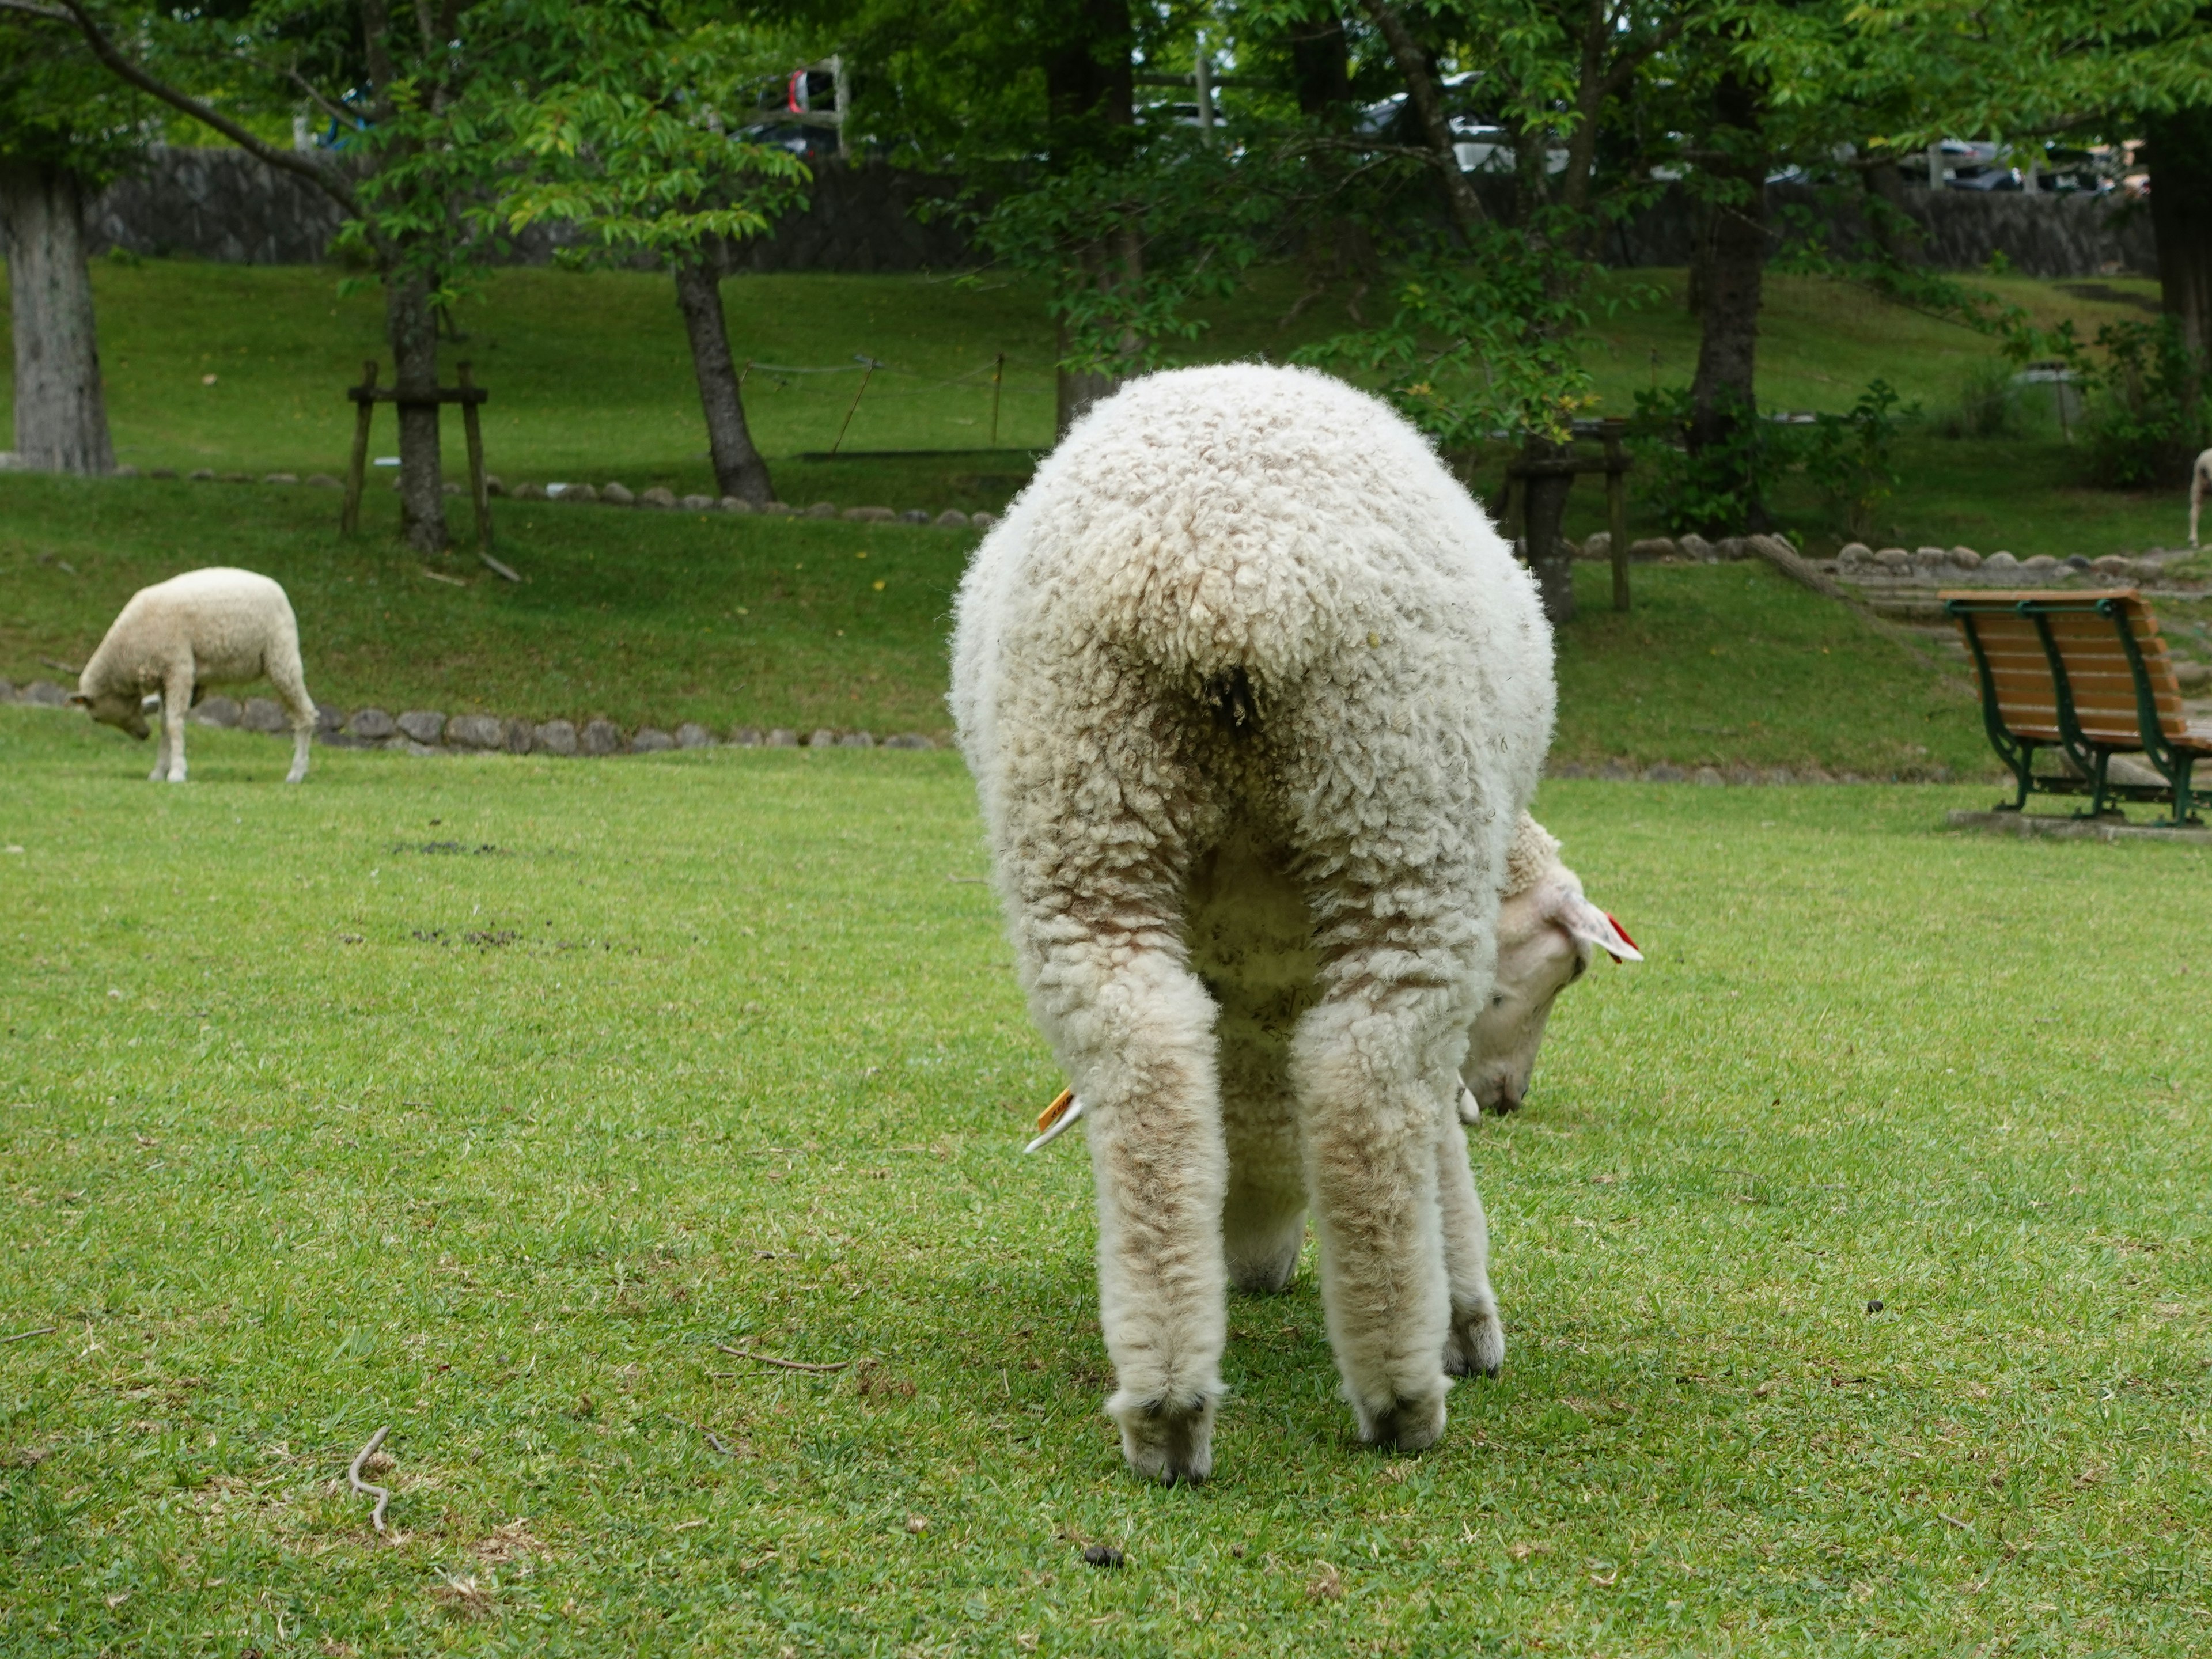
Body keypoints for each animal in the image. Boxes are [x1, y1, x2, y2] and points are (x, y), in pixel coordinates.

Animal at [73, 566, 320, 787]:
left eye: (96, 718)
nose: (144, 734)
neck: (126, 652)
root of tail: (277, 588)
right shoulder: (164, 678)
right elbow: (165, 723)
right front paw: (159, 772)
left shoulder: (178, 667)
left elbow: (174, 723)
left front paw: (177, 773)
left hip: (281, 655)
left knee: (305, 714)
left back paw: (297, 773)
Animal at [955, 362, 1645, 1478]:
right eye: (1553, 978)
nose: (1259, 1272)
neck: (1257, 993)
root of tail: (1226, 578)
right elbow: (1433, 1130)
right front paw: (1469, 1319)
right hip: (1399, 797)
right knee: (1367, 1084)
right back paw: (1402, 1397)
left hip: (1083, 807)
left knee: (1146, 1069)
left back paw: (1167, 1408)